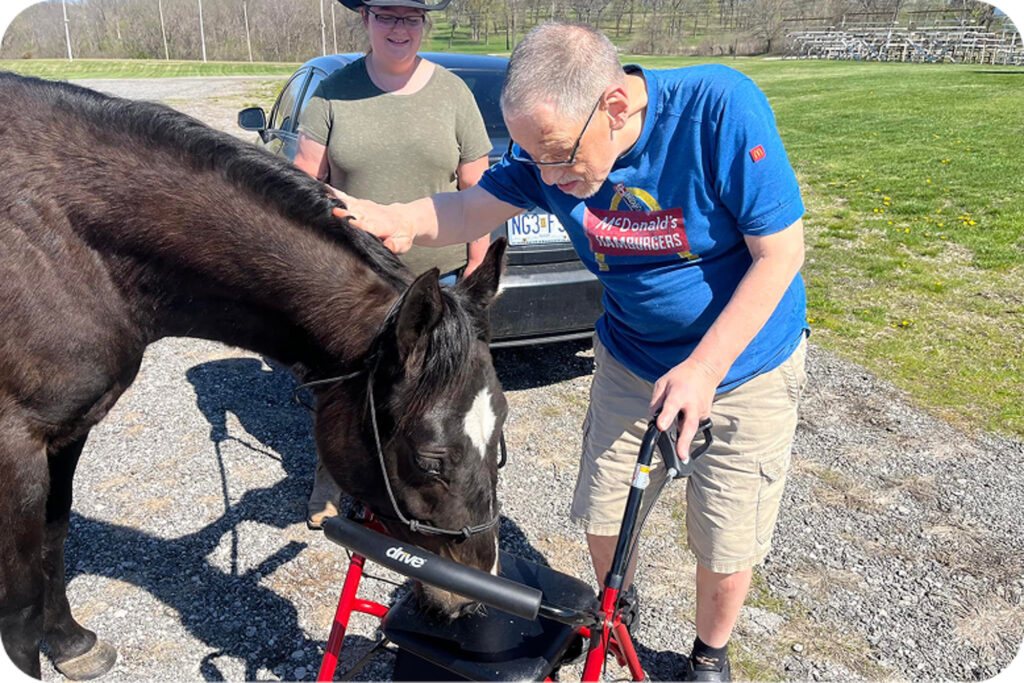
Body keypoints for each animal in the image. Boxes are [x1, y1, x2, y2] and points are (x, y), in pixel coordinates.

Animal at [0, 72, 508, 679]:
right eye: (431, 458)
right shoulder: (16, 443)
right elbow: (20, 594)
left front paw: (70, 643)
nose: (472, 595)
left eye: (500, 437)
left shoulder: (67, 430)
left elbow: (53, 538)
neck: (63, 242)